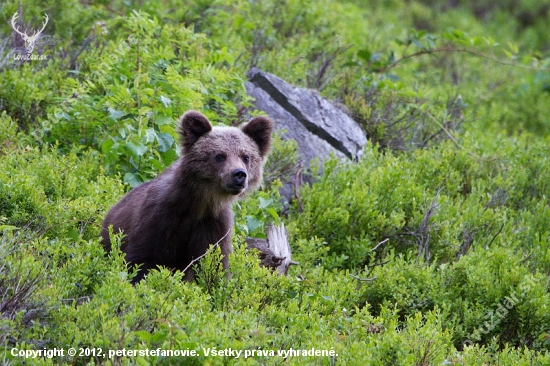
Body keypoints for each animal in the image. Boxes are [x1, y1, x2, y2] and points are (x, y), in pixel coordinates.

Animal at [101, 111, 274, 284]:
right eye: (219, 155)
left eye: (246, 156)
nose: (239, 174)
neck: (200, 202)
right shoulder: (160, 216)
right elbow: (141, 259)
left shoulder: (213, 224)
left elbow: (213, 265)